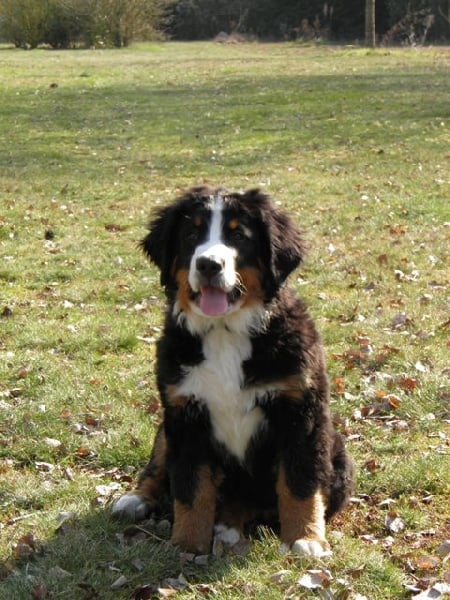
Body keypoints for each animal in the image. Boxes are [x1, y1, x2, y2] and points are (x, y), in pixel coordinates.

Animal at [111, 184, 352, 556]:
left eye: (238, 235)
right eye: (191, 234)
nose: (208, 264)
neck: (225, 332)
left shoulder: (300, 411)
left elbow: (299, 482)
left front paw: (306, 538)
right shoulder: (185, 414)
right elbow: (191, 488)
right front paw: (187, 544)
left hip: (337, 452)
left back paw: (228, 525)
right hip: (166, 426)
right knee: (160, 466)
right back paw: (136, 499)